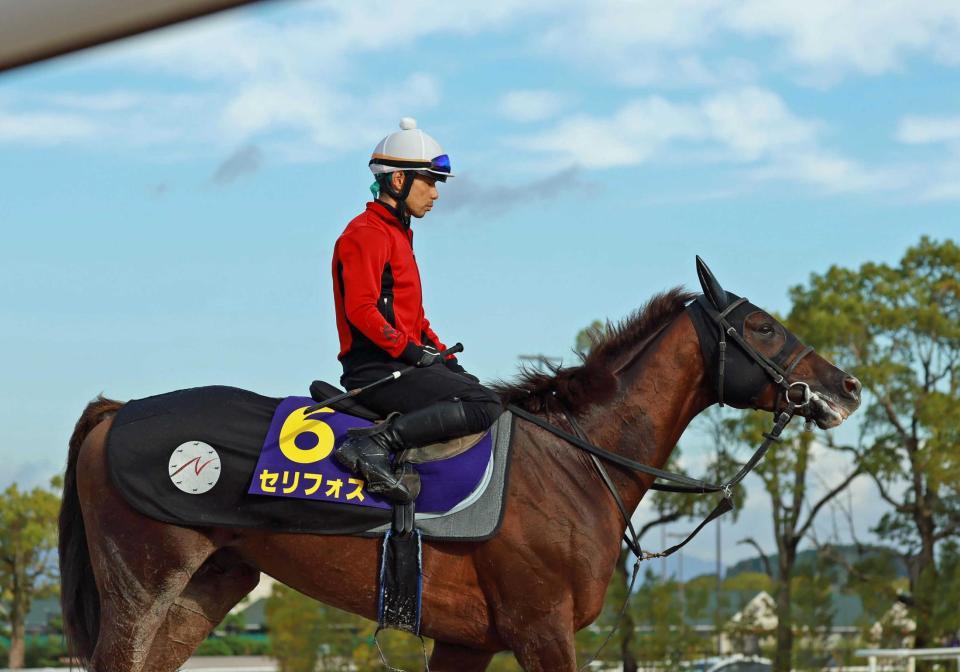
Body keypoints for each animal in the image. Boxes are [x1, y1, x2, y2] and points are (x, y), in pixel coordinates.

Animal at [58, 260, 864, 668]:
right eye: (762, 325)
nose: (846, 387)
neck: (575, 461)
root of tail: (116, 410)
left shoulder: (467, 640)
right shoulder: (542, 629)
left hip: (207, 589)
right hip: (142, 590)